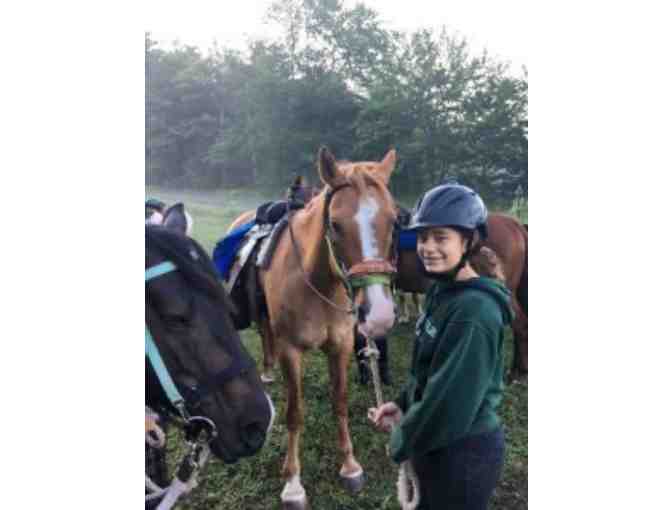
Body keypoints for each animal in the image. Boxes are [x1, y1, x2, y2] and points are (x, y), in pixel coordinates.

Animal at [227, 147, 399, 509]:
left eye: (393, 220)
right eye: (334, 224)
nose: (379, 315)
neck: (319, 283)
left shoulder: (342, 345)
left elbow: (340, 401)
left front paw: (350, 466)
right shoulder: (291, 351)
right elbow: (295, 413)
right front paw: (293, 483)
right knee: (265, 334)